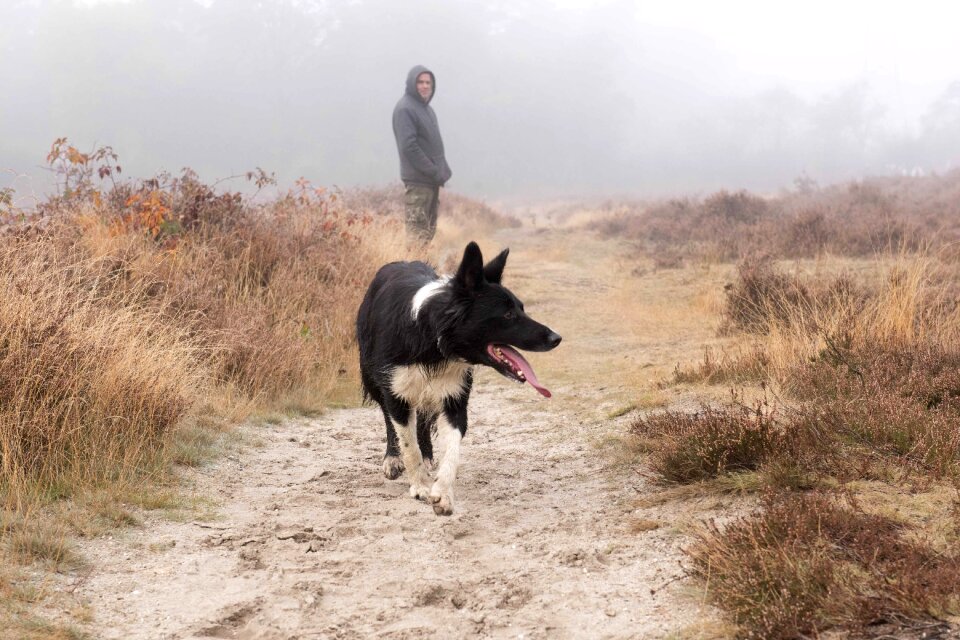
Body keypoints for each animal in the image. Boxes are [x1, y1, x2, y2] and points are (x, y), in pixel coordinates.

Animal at [356, 240, 560, 516]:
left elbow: (452, 450)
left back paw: (428, 458)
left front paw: (442, 493)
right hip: (374, 376)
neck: (432, 340)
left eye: (522, 309)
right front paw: (420, 485)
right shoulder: (396, 390)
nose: (556, 338)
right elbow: (408, 443)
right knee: (391, 420)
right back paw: (393, 459)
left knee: (422, 421)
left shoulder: (454, 397)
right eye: (508, 315)